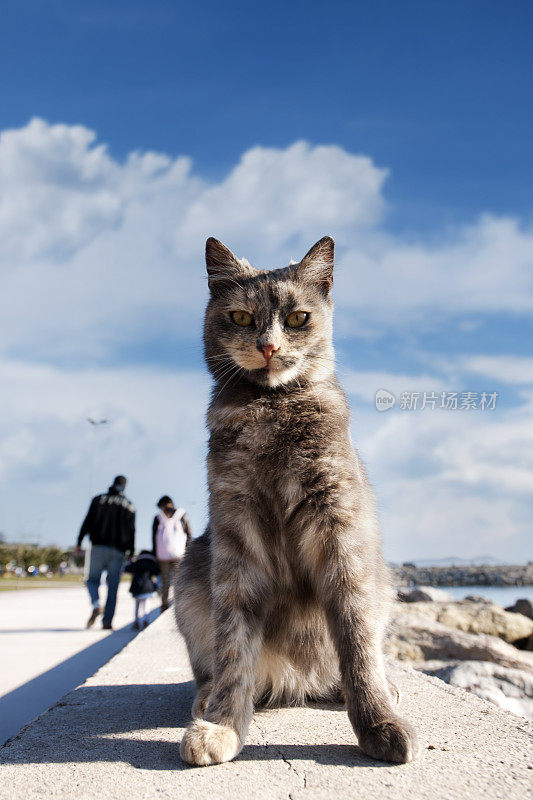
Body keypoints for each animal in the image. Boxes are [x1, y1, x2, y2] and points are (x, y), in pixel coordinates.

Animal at [172, 234, 418, 764]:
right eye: (242, 317)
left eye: (298, 318)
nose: (268, 345)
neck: (272, 410)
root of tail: (295, 683)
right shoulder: (235, 534)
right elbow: (234, 644)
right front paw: (222, 726)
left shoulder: (339, 529)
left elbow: (356, 638)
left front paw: (378, 722)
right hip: (189, 575)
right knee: (211, 669)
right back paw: (207, 697)